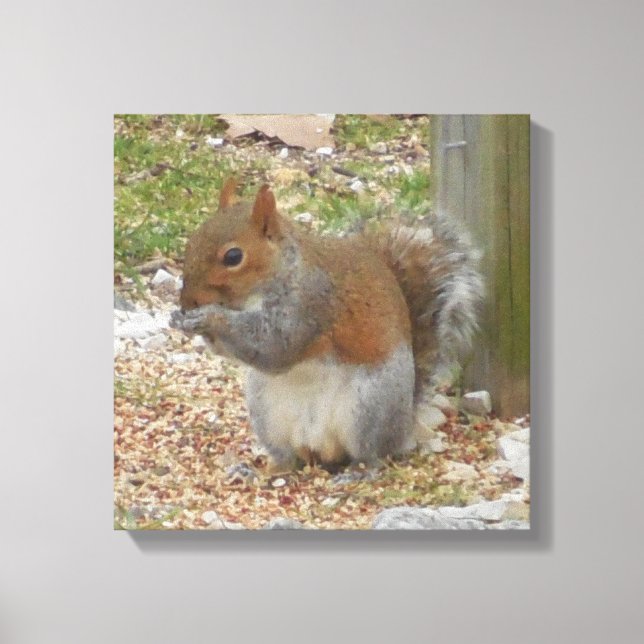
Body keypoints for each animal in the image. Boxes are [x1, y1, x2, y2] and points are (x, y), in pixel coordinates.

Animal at [170, 179, 484, 472]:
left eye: (233, 257)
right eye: (191, 242)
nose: (187, 302)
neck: (282, 271)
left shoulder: (310, 304)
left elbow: (274, 346)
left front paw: (209, 317)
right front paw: (180, 319)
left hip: (369, 406)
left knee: (374, 453)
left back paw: (361, 471)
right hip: (266, 412)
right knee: (287, 457)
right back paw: (259, 471)